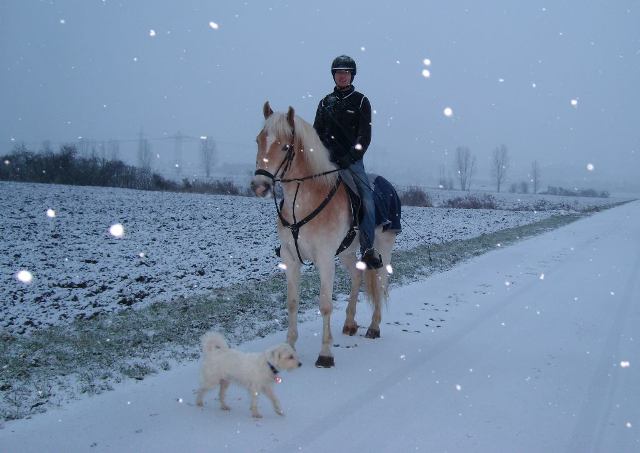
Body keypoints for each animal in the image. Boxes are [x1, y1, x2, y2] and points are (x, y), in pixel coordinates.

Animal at [251, 101, 398, 368]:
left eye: (285, 146)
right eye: (258, 140)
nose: (259, 186)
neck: (302, 202)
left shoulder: (325, 259)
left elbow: (325, 304)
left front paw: (326, 354)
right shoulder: (290, 258)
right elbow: (292, 302)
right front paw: (289, 349)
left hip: (383, 247)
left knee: (381, 282)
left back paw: (373, 327)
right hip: (348, 252)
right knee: (357, 277)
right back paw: (350, 324)